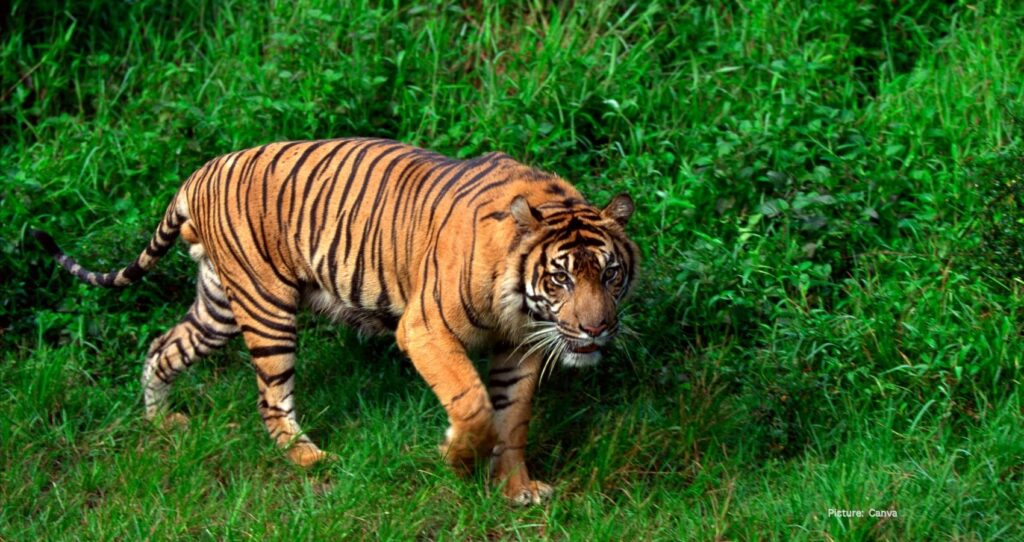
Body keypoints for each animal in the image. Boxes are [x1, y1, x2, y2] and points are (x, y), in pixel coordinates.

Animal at [32, 137, 638, 505]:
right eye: (560, 279)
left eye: (609, 275)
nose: (595, 330)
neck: (521, 305)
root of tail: (199, 174)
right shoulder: (424, 327)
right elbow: (473, 403)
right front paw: (457, 459)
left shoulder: (522, 347)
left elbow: (513, 421)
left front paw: (517, 489)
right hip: (266, 309)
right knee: (270, 401)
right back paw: (311, 458)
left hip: (218, 307)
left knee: (162, 347)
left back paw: (162, 422)